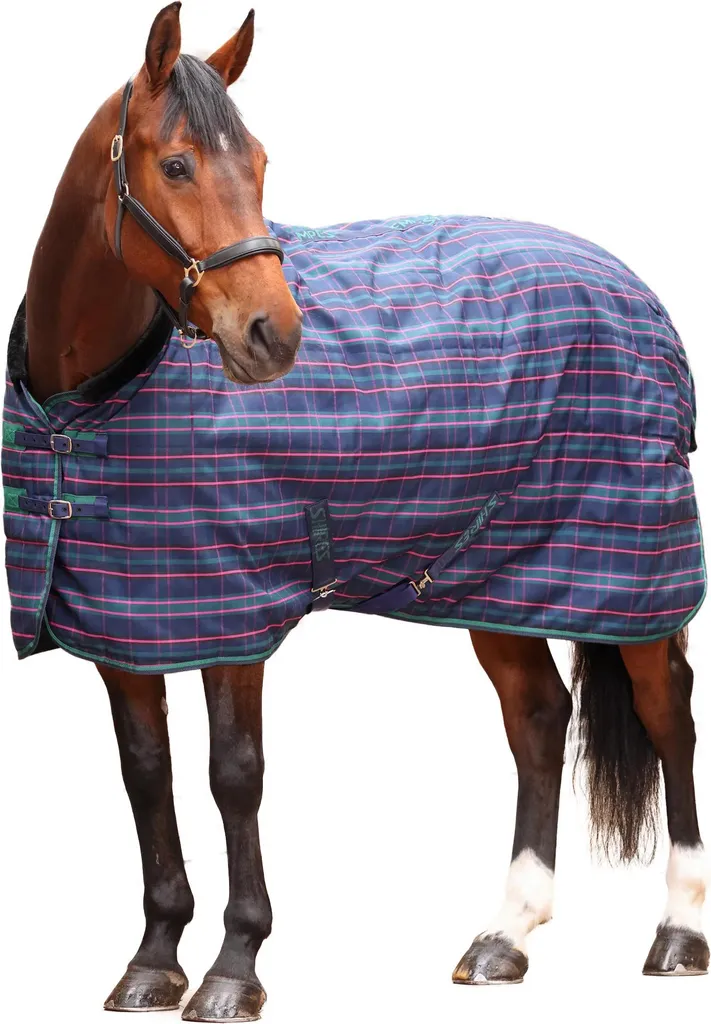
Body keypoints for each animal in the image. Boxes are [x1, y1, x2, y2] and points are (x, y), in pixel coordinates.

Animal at [3, 4, 707, 1020]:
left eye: (260, 162)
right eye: (174, 165)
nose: (273, 335)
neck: (88, 406)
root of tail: (634, 291)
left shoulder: (233, 615)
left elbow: (233, 775)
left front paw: (233, 968)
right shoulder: (125, 621)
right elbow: (146, 774)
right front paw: (152, 960)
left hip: (630, 568)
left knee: (667, 716)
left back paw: (677, 932)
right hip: (493, 577)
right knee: (539, 718)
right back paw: (503, 936)